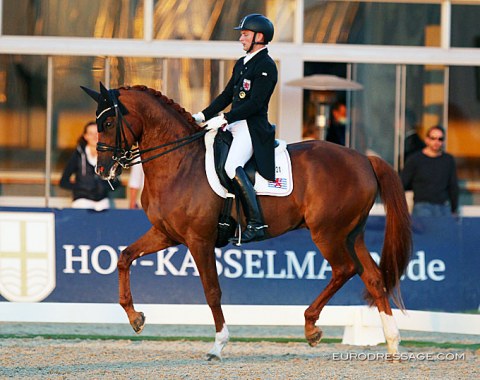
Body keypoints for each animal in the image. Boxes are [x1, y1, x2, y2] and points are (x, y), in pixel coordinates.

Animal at [82, 82, 412, 360]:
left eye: (108, 123)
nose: (101, 170)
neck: (179, 162)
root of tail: (364, 159)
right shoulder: (166, 234)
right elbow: (124, 257)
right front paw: (135, 318)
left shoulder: (199, 240)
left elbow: (212, 291)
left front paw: (218, 345)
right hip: (351, 234)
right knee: (373, 278)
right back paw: (392, 344)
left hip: (327, 233)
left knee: (344, 270)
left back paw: (311, 327)